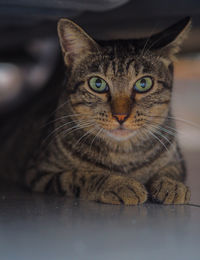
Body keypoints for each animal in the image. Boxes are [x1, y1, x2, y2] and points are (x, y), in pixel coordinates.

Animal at [0, 16, 191, 205]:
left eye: (143, 84)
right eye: (97, 84)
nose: (120, 116)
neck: (122, 154)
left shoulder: (178, 161)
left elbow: (172, 171)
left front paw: (172, 185)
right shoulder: (40, 172)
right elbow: (80, 176)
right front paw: (120, 184)